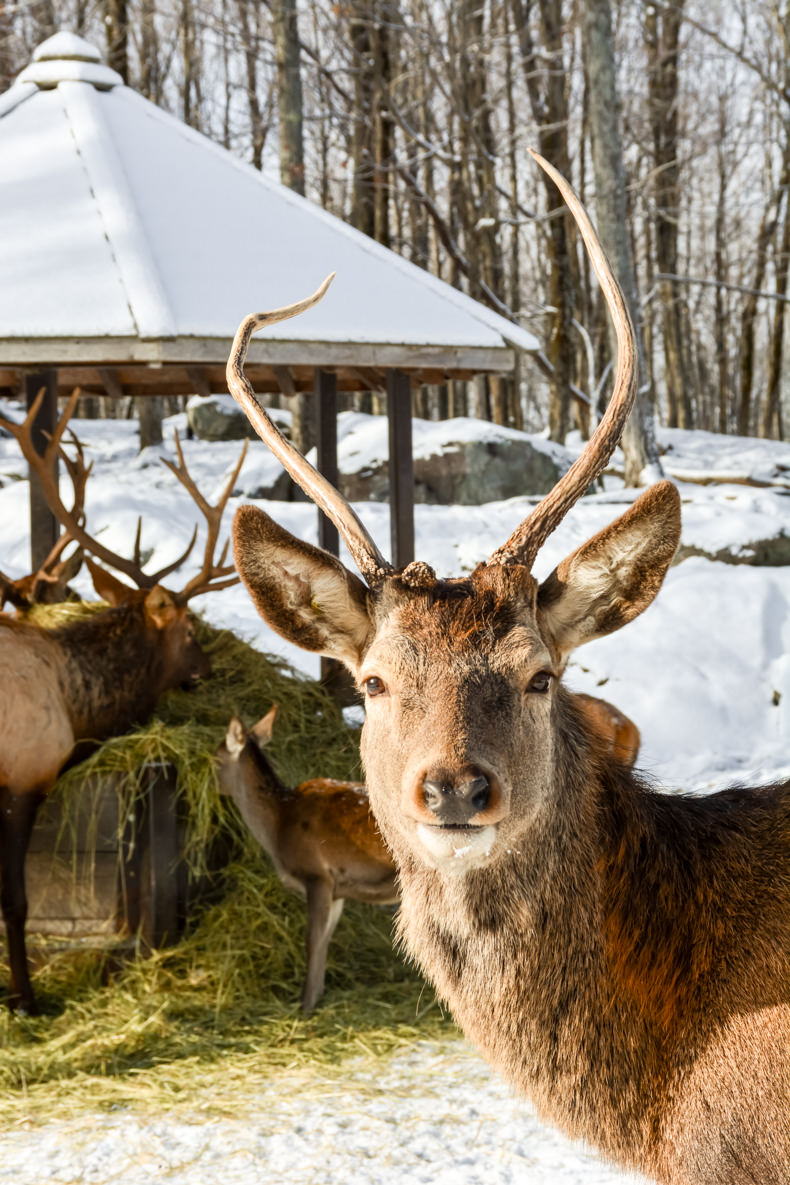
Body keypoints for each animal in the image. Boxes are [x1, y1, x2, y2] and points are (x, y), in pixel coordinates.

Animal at [0, 395, 245, 1009]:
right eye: (189, 630)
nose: (207, 671)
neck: (78, 703)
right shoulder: (24, 776)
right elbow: (14, 899)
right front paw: (25, 997)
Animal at [214, 701, 397, 1009]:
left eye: (215, 758)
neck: (277, 827)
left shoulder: (316, 875)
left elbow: (311, 940)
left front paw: (305, 1004)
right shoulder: (337, 890)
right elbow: (325, 939)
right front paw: (319, 994)